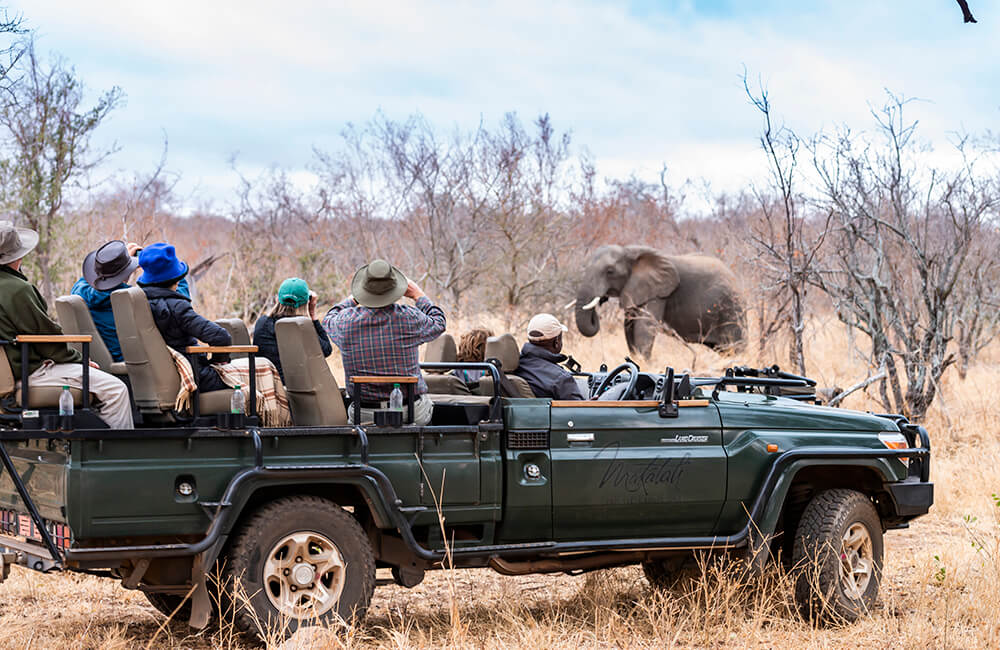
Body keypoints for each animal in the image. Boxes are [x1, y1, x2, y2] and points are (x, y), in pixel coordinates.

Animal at [576, 244, 748, 356]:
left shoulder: (659, 294)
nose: (601, 299)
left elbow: (644, 328)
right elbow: (629, 327)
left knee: (736, 347)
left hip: (732, 308)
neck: (629, 251)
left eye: (610, 271)